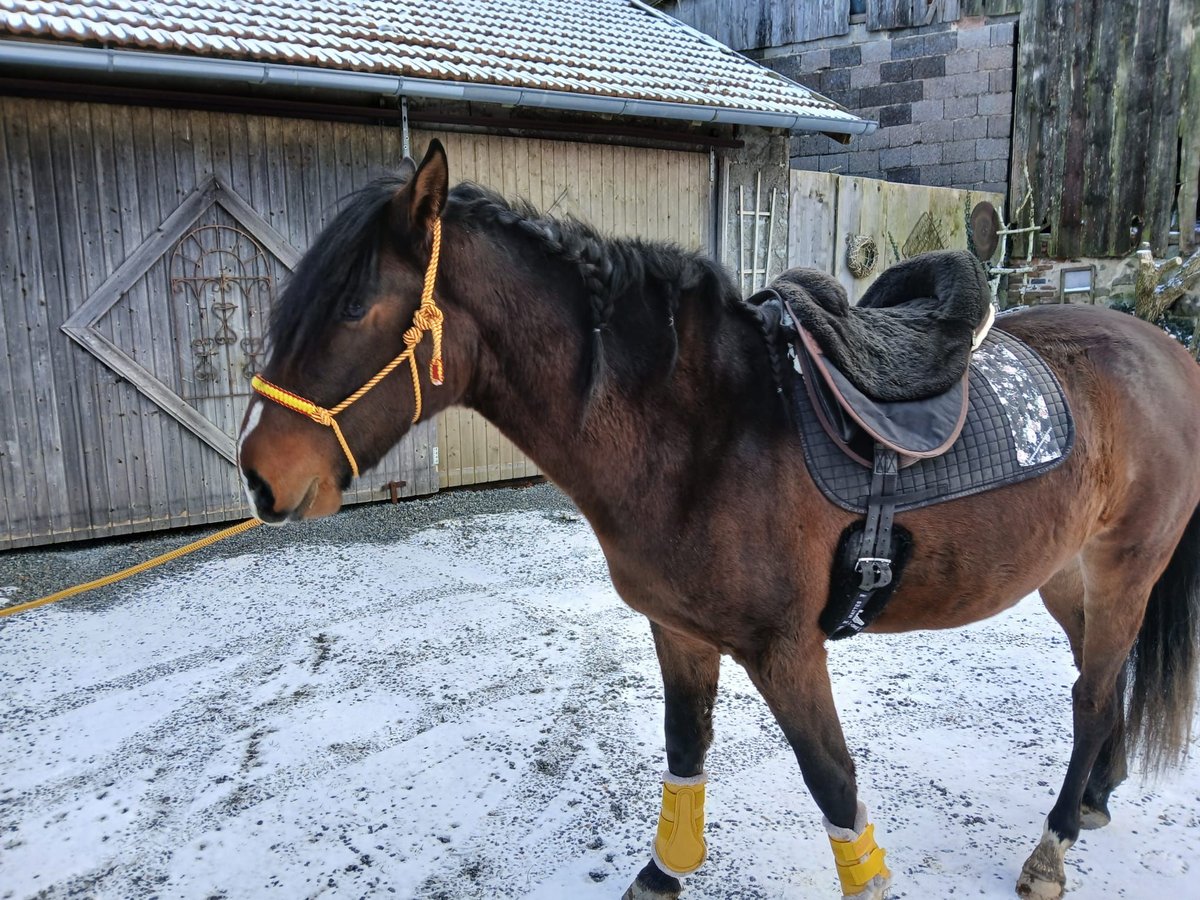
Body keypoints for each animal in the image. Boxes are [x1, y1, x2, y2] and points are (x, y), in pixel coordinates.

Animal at [236, 137, 1200, 897]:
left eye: (354, 306)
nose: (257, 477)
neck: (700, 430)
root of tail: (1166, 349)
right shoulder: (680, 633)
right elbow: (684, 749)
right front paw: (664, 872)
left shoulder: (786, 651)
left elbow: (833, 784)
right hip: (1067, 576)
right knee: (1103, 682)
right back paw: (1095, 799)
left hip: (1124, 567)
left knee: (1089, 696)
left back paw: (1053, 845)